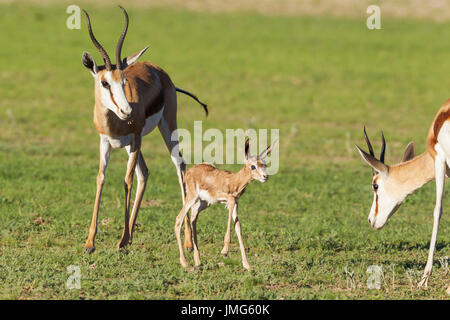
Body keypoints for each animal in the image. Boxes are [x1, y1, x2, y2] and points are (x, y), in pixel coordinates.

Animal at [81, 5, 207, 252]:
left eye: (124, 82)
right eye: (104, 82)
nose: (127, 111)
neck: (115, 123)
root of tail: (158, 70)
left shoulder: (136, 137)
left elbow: (127, 180)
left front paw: (121, 240)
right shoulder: (105, 142)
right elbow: (101, 178)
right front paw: (90, 242)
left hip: (166, 129)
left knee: (180, 166)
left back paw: (188, 241)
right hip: (131, 146)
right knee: (145, 172)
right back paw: (131, 235)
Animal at [174, 138, 276, 270]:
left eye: (264, 165)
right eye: (253, 166)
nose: (265, 176)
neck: (234, 181)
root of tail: (189, 172)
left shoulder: (235, 203)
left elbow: (238, 228)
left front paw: (247, 265)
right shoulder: (229, 201)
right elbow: (230, 224)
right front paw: (224, 251)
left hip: (204, 203)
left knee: (193, 217)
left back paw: (197, 261)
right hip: (191, 198)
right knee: (179, 220)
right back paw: (185, 262)